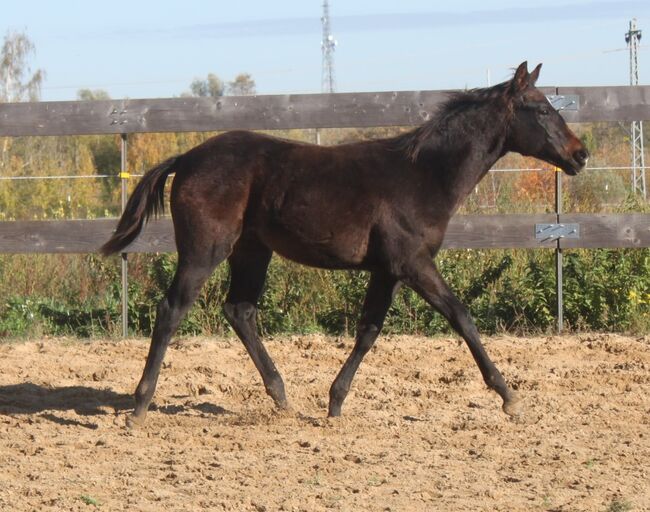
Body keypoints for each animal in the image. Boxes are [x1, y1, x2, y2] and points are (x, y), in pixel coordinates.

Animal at [101, 62, 588, 426]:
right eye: (539, 108)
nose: (580, 154)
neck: (423, 175)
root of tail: (187, 158)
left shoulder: (387, 271)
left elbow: (368, 331)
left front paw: (335, 403)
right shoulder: (414, 263)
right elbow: (462, 317)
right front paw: (510, 397)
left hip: (252, 251)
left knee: (240, 311)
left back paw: (281, 397)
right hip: (205, 250)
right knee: (172, 310)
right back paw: (140, 406)